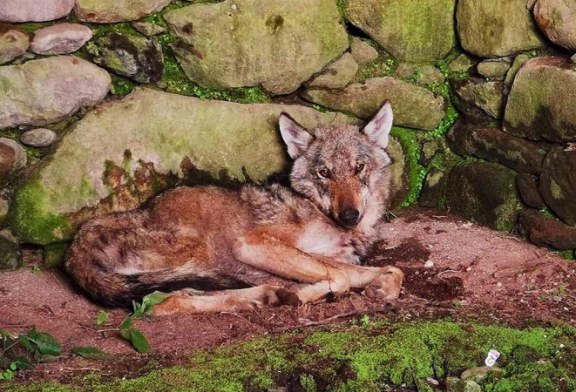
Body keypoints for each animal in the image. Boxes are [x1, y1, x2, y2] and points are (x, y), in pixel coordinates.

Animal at [65, 102, 402, 316]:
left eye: (359, 168)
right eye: (324, 173)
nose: (349, 215)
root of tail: (77, 243)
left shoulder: (329, 256)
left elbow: (388, 271)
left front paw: (383, 286)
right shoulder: (252, 243)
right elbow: (341, 278)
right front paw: (308, 292)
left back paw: (266, 295)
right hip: (196, 255)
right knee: (163, 304)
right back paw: (277, 295)